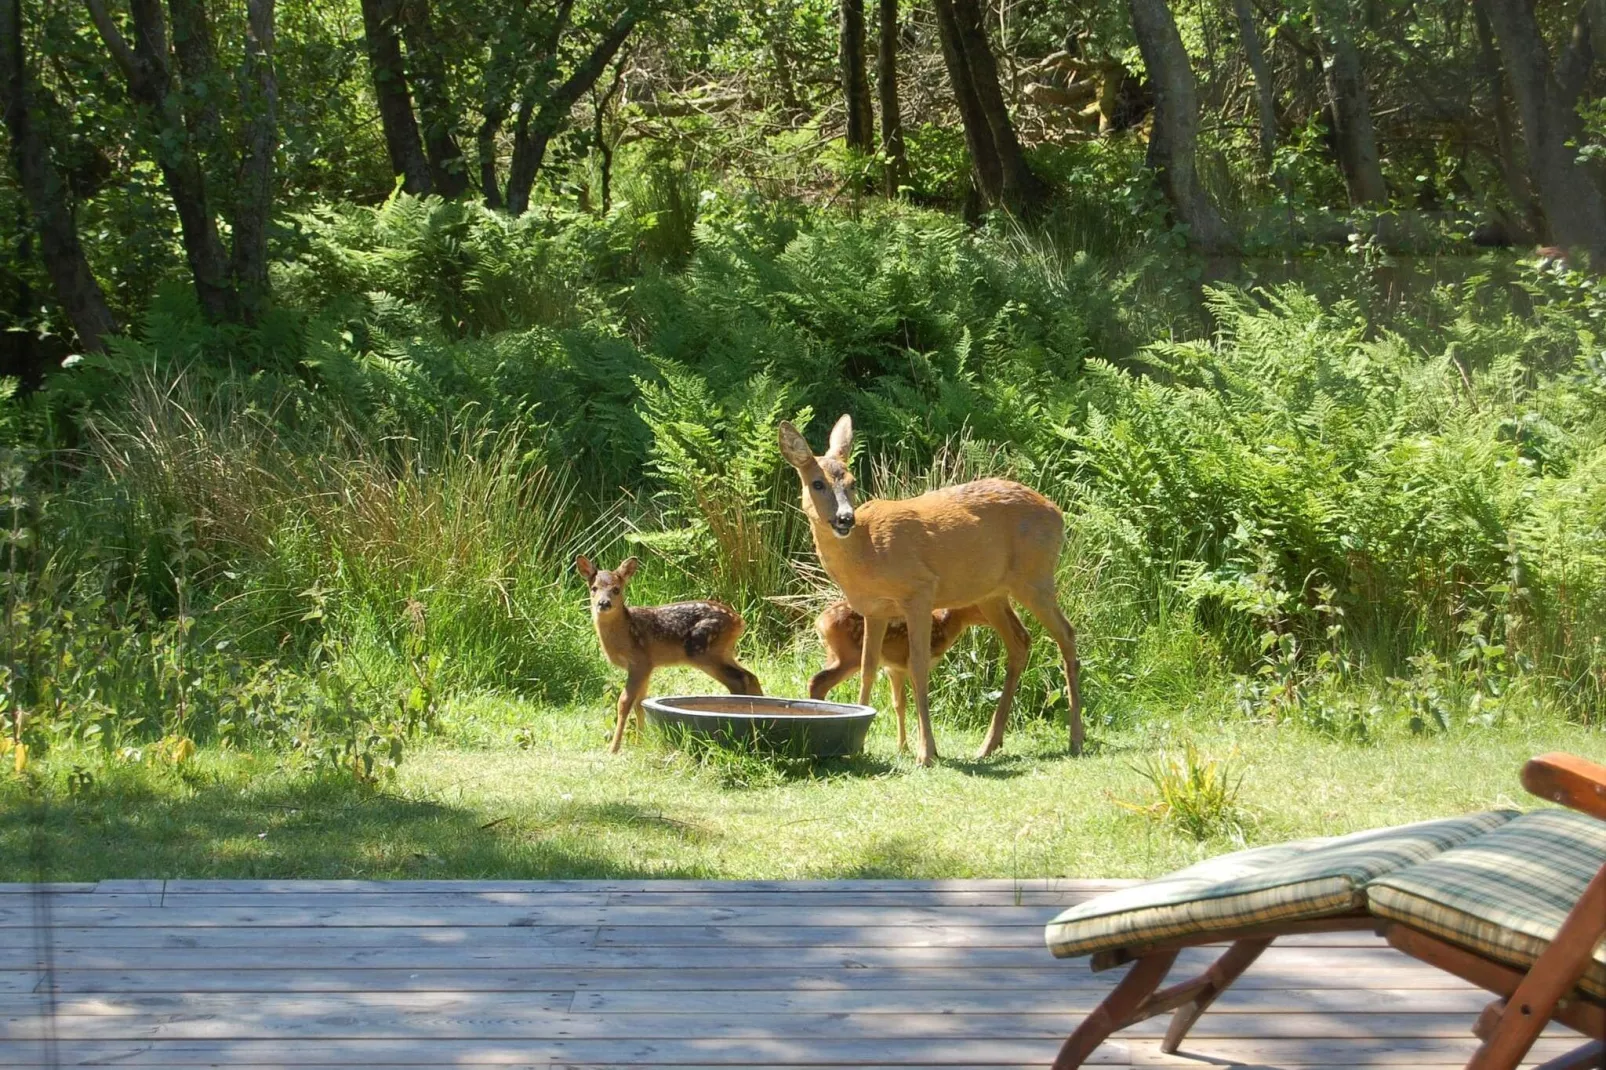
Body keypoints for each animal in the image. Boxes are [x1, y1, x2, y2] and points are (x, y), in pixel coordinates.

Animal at [574, 559, 761, 748]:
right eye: (594, 588)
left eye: (616, 589)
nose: (604, 603)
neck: (625, 633)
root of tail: (739, 621)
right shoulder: (647, 666)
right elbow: (639, 703)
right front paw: (640, 742)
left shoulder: (640, 662)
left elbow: (625, 702)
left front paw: (614, 748)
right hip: (724, 652)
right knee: (749, 676)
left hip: (704, 652)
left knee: (739, 679)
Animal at [774, 411, 1079, 761]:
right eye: (817, 483)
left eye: (852, 483)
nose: (845, 518)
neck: (867, 551)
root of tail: (1058, 513)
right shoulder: (874, 610)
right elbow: (867, 668)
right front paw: (859, 742)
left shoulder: (919, 591)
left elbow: (918, 666)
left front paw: (926, 752)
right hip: (993, 593)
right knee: (1020, 641)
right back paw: (988, 745)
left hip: (1036, 577)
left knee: (1066, 634)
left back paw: (1076, 739)